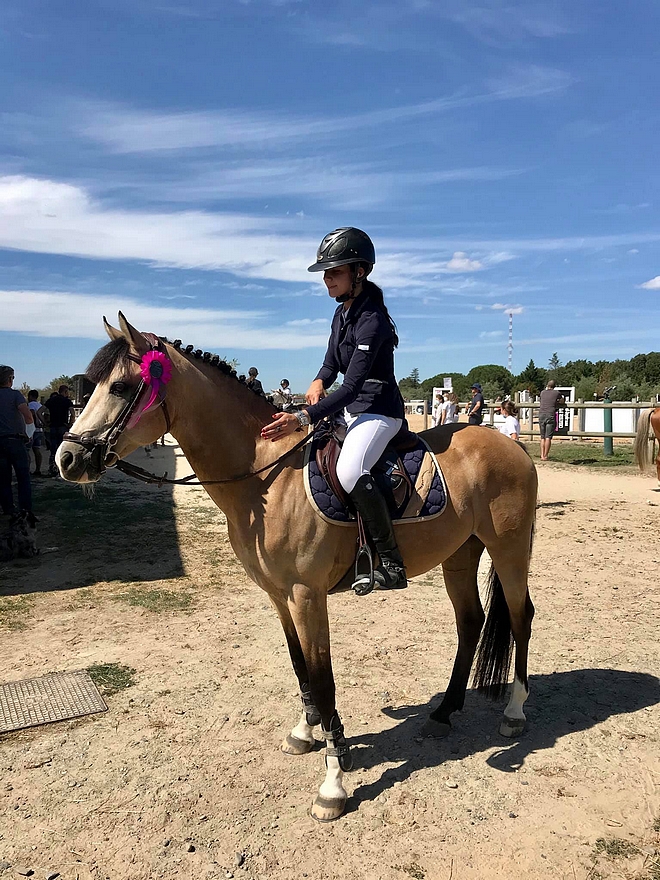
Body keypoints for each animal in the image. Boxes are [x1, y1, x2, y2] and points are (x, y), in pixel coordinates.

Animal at [56, 316, 540, 824]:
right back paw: (444, 712)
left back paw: (514, 713)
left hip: (508, 552)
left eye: (120, 386)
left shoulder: (307, 594)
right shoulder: (278, 593)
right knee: (470, 623)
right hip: (460, 555)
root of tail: (512, 446)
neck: (265, 476)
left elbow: (323, 677)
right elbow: (299, 665)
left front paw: (333, 782)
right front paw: (309, 734)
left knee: (520, 617)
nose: (66, 459)